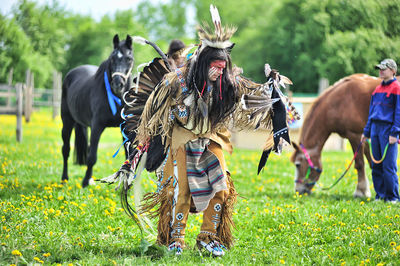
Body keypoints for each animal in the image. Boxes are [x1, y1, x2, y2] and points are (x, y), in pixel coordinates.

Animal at [60, 34, 133, 187]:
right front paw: (85, 182)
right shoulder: (97, 126)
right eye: (112, 58)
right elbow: (92, 156)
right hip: (67, 122)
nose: (118, 84)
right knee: (66, 150)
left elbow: (128, 155)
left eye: (129, 58)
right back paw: (64, 179)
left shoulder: (125, 128)